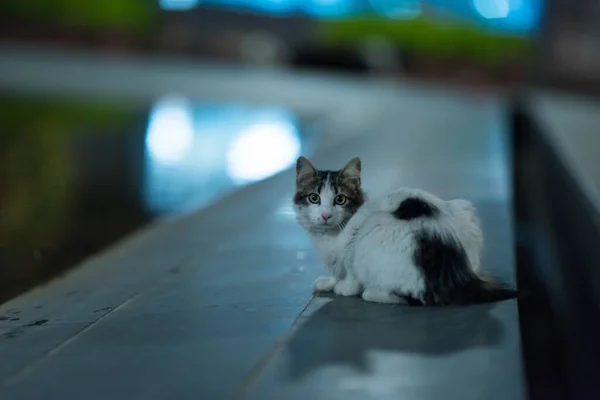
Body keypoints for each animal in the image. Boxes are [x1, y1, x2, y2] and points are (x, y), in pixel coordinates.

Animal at [294, 156, 516, 306]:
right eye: (314, 198)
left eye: (340, 199)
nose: (325, 215)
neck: (330, 236)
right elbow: (334, 269)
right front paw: (329, 282)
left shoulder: (352, 244)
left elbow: (349, 271)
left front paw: (344, 287)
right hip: (465, 211)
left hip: (373, 228)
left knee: (409, 296)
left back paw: (371, 292)